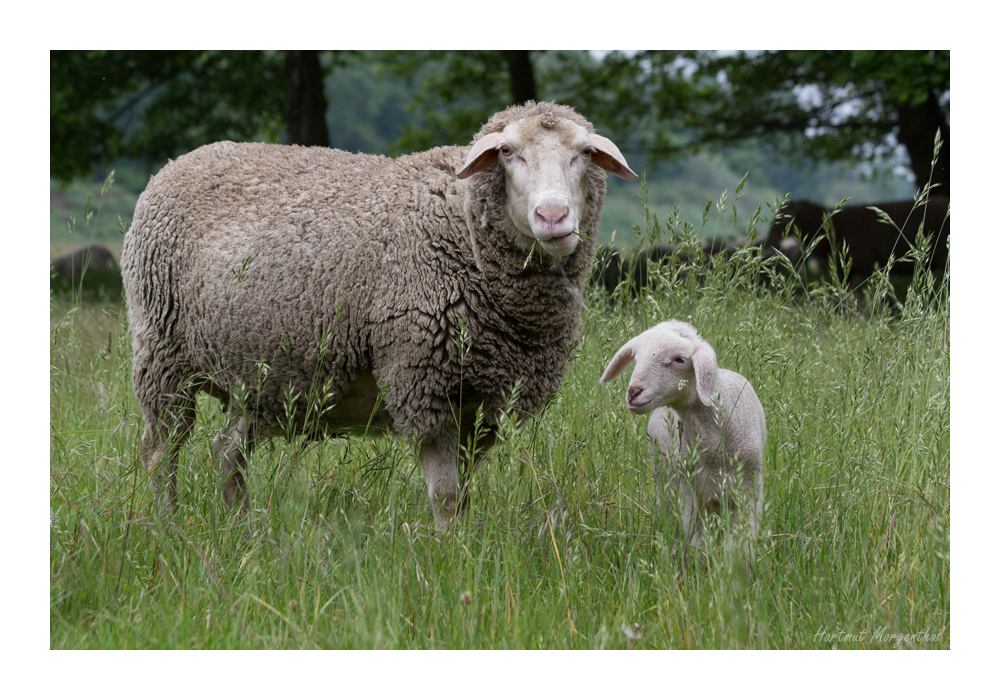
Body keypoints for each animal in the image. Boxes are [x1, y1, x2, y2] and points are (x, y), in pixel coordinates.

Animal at [121, 101, 636, 532]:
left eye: (585, 153)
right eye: (508, 152)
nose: (553, 216)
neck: (461, 227)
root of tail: (176, 162)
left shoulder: (486, 401)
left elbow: (466, 493)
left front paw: (467, 545)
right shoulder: (424, 383)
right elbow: (447, 495)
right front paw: (449, 556)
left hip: (261, 378)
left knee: (226, 452)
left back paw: (240, 528)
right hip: (162, 354)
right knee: (161, 450)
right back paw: (167, 524)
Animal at [600, 320, 764, 556]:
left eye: (680, 359)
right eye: (637, 358)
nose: (633, 392)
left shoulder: (750, 489)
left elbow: (742, 545)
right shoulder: (689, 491)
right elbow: (696, 539)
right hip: (665, 482)